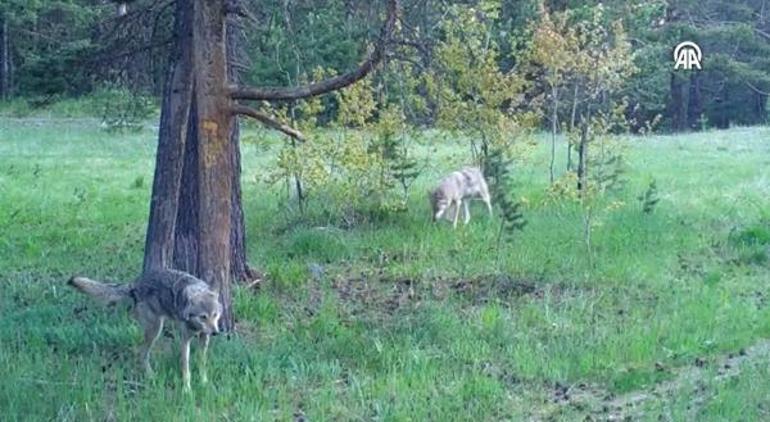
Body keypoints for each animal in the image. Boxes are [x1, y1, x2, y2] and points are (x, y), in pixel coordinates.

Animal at [67, 268, 220, 390]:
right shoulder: (185, 339)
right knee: (142, 354)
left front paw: (204, 382)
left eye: (215, 315)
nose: (215, 332)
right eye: (203, 317)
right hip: (155, 330)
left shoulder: (204, 339)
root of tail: (136, 283)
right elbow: (185, 366)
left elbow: (202, 362)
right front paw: (187, 390)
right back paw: (151, 376)